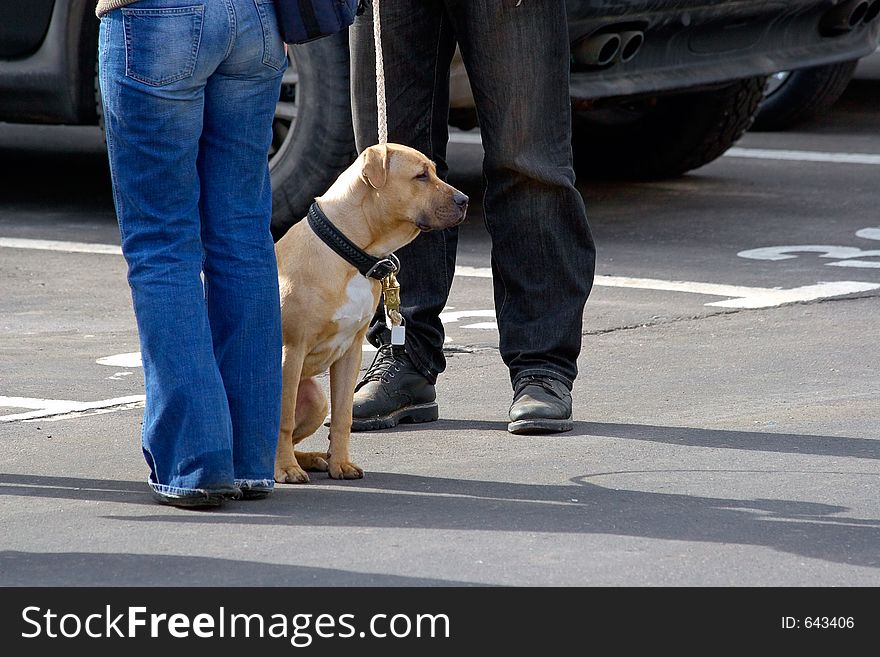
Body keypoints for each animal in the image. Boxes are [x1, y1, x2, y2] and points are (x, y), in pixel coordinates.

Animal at [274, 144, 468, 482]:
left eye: (433, 172)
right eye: (420, 176)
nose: (465, 200)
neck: (350, 252)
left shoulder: (349, 353)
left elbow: (343, 416)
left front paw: (340, 463)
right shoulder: (290, 351)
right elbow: (283, 420)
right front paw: (285, 468)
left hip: (315, 398)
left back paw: (312, 458)